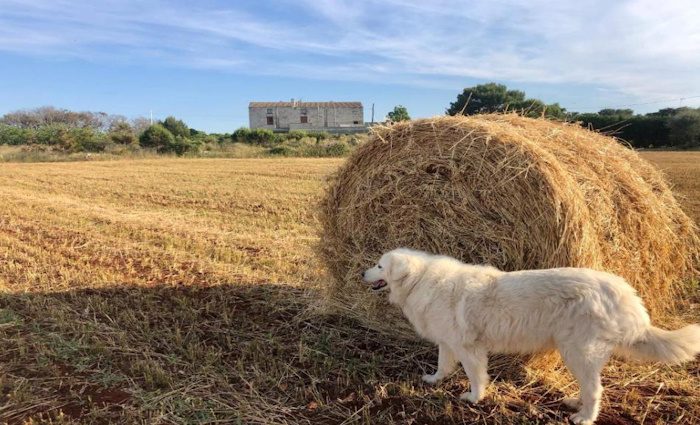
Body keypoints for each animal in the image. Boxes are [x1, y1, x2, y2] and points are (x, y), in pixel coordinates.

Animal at [364, 247, 696, 424]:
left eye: (379, 265)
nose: (361, 274)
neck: (420, 281)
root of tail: (624, 292)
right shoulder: (448, 342)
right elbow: (443, 365)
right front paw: (434, 381)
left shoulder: (469, 347)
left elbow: (475, 376)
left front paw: (474, 398)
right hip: (583, 356)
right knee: (590, 387)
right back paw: (576, 404)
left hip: (578, 352)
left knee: (596, 390)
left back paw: (585, 417)